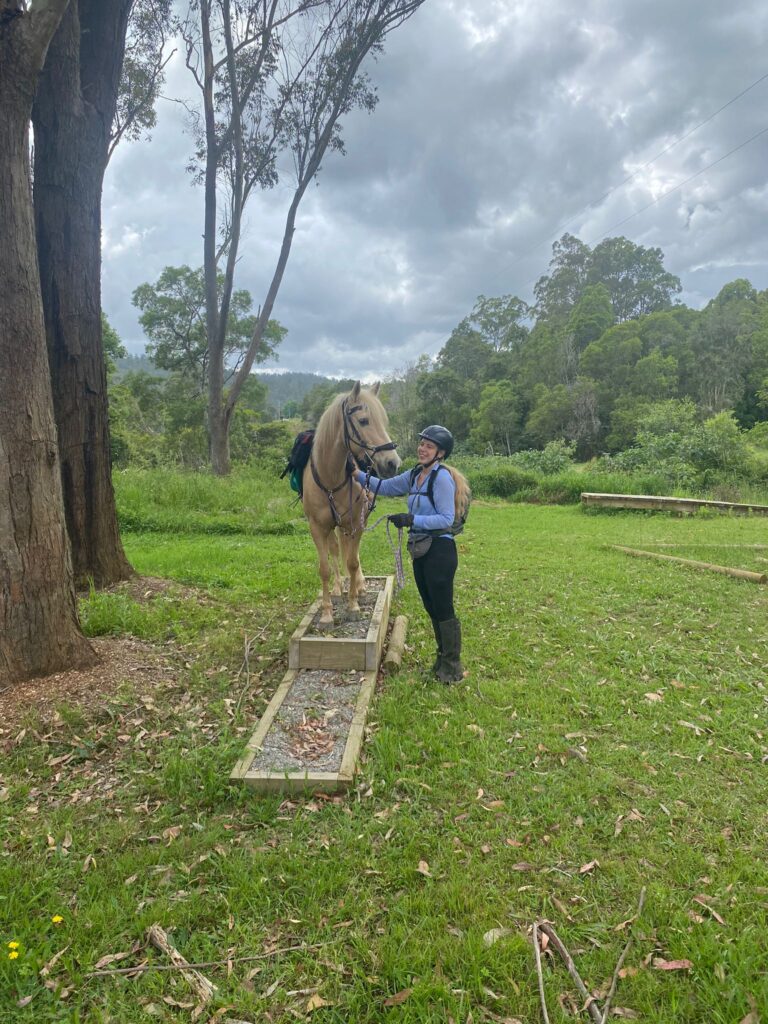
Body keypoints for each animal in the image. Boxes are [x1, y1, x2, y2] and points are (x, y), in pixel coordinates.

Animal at [302, 381, 401, 626]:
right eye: (364, 420)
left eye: (384, 421)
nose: (392, 463)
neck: (331, 479)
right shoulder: (317, 528)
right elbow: (325, 567)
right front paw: (327, 613)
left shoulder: (356, 523)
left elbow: (353, 562)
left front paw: (354, 604)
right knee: (337, 551)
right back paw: (339, 589)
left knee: (351, 555)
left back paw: (359, 586)